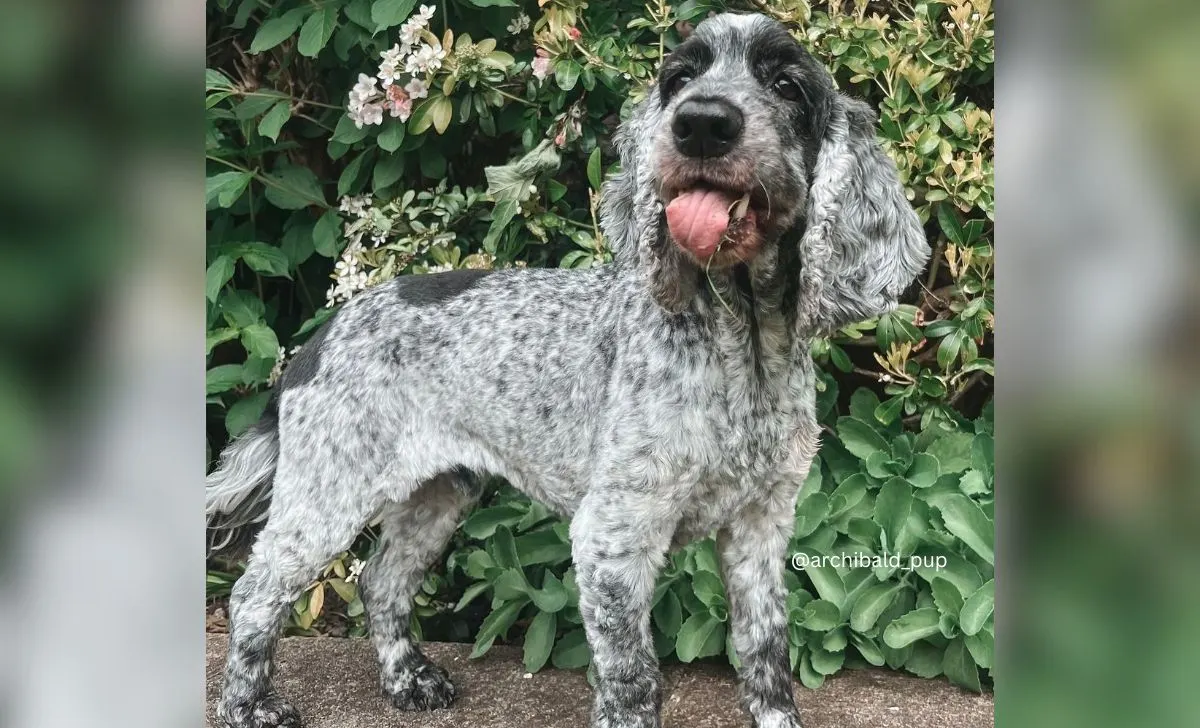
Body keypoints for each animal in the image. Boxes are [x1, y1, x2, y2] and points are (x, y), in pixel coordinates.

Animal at [206, 11, 926, 728]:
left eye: (786, 85)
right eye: (679, 78)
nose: (700, 123)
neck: (740, 347)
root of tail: (316, 340)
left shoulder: (761, 525)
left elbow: (766, 652)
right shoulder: (614, 535)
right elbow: (632, 679)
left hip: (439, 491)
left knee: (379, 579)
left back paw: (409, 680)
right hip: (329, 491)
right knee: (254, 592)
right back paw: (250, 706)